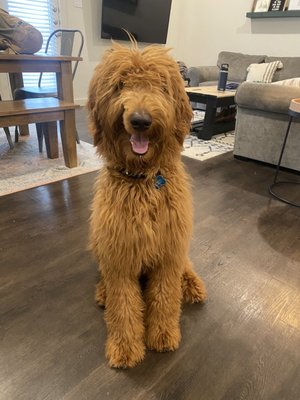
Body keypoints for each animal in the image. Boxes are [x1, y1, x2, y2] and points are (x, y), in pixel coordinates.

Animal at [87, 41, 206, 368]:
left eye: (160, 86)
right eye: (120, 84)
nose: (141, 120)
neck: (142, 179)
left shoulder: (168, 250)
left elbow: (165, 296)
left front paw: (163, 335)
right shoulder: (119, 255)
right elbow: (123, 304)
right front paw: (126, 347)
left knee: (185, 266)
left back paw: (192, 285)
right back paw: (102, 292)